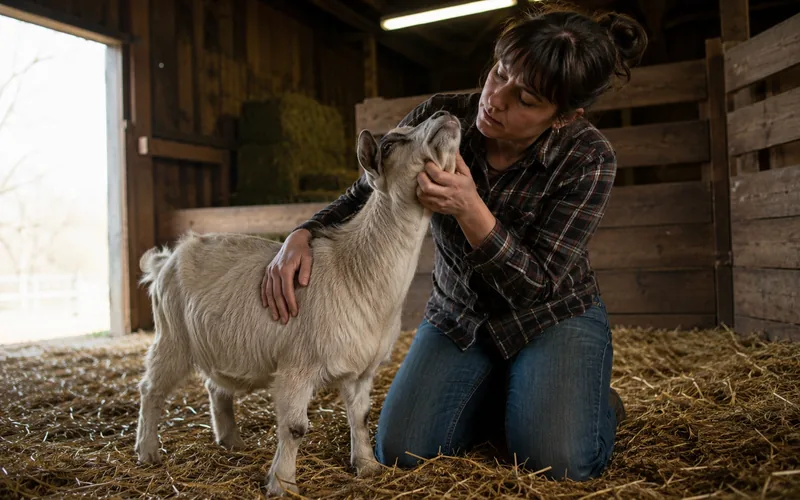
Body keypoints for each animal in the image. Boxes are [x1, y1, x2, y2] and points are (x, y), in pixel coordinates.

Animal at [133, 110, 461, 496]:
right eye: (390, 145)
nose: (445, 114)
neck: (355, 269)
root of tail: (167, 258)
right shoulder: (297, 367)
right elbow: (295, 428)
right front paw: (283, 483)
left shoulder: (362, 370)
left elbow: (362, 417)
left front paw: (367, 466)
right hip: (171, 337)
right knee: (151, 389)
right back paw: (148, 451)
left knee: (216, 386)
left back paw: (230, 441)